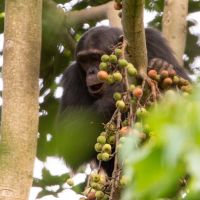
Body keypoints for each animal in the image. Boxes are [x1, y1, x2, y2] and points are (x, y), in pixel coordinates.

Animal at [58, 26, 189, 173]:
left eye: (95, 57)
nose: (91, 71)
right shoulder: (72, 78)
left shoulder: (155, 41)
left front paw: (161, 67)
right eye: (84, 61)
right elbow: (69, 137)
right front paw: (117, 89)